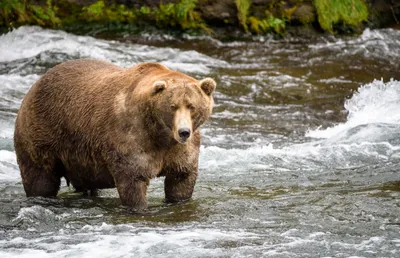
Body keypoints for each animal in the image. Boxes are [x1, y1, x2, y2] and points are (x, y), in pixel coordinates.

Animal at [14, 59, 217, 211]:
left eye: (192, 106)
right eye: (173, 106)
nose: (184, 132)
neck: (160, 134)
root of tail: (36, 84)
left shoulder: (180, 150)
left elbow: (181, 179)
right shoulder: (132, 137)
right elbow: (133, 180)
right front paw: (139, 207)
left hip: (79, 159)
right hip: (42, 134)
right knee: (40, 178)